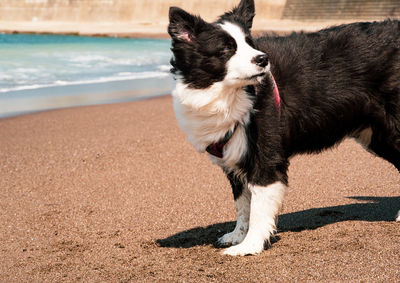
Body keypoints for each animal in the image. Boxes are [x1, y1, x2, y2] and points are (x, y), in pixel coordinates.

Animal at [167, 0, 398, 258]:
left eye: (249, 42)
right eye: (226, 49)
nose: (262, 59)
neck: (231, 96)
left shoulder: (265, 160)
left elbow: (258, 210)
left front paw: (249, 245)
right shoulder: (235, 160)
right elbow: (242, 206)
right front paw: (237, 236)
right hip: (377, 137)